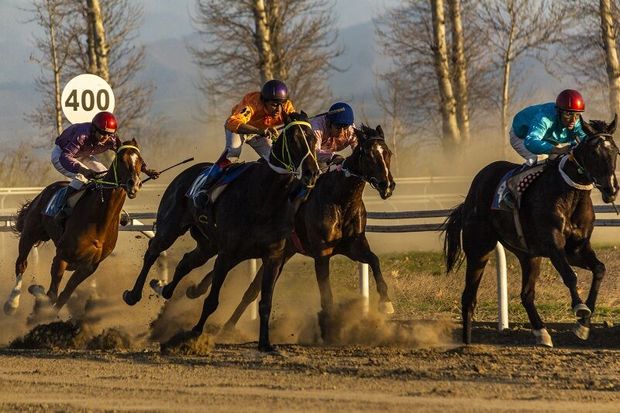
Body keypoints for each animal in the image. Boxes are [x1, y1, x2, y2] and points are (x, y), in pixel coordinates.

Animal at [5, 140, 148, 314]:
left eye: (141, 161)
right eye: (121, 159)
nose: (134, 184)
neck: (99, 220)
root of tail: (44, 193)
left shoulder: (89, 267)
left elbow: (64, 296)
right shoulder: (62, 256)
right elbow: (52, 294)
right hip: (29, 233)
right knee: (21, 264)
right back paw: (11, 304)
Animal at [123, 112, 322, 350]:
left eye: (313, 138)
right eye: (293, 139)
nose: (312, 173)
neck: (265, 197)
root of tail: (186, 172)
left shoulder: (273, 256)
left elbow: (265, 301)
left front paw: (265, 343)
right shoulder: (227, 254)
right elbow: (211, 300)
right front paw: (194, 333)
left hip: (208, 243)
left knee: (187, 261)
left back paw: (164, 287)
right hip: (171, 227)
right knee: (153, 250)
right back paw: (133, 294)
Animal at [184, 123, 398, 338]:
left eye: (388, 153)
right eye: (369, 155)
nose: (387, 185)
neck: (340, 200)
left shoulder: (353, 246)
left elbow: (374, 260)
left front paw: (386, 303)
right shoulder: (322, 254)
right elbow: (326, 293)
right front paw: (330, 327)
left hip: (281, 253)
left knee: (251, 290)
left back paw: (227, 325)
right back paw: (200, 295)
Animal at [444, 116, 616, 348]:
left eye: (615, 151)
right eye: (594, 153)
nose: (611, 189)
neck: (569, 195)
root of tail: (472, 193)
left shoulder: (576, 250)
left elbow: (599, 269)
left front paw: (584, 325)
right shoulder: (553, 246)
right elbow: (570, 276)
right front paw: (580, 309)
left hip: (529, 256)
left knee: (526, 294)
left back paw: (541, 332)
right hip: (479, 249)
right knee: (469, 297)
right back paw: (466, 345)